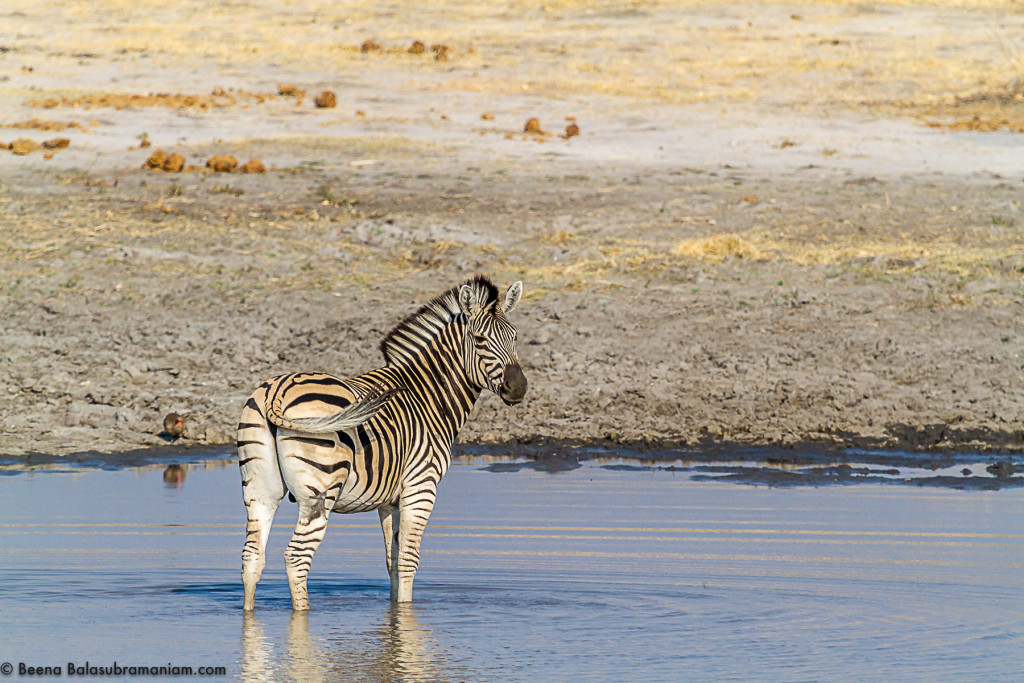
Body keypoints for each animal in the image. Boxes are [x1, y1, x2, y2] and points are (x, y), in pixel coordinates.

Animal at [236, 274, 528, 610]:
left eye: (515, 338)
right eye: (479, 340)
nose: (519, 387)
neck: (427, 396)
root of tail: (277, 392)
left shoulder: (390, 500)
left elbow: (393, 560)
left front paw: (394, 614)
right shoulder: (421, 487)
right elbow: (409, 561)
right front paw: (407, 612)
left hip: (260, 488)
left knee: (252, 558)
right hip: (319, 491)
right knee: (297, 559)